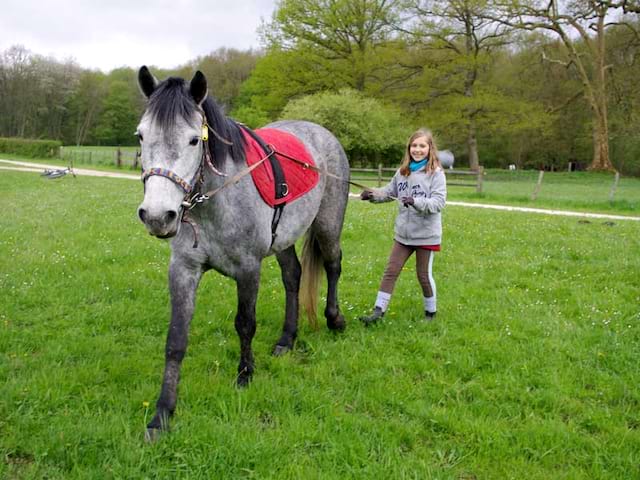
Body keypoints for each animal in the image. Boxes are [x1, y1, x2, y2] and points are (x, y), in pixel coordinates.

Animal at [132, 66, 348, 438]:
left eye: (194, 140)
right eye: (141, 136)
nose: (158, 216)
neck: (216, 200)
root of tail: (321, 133)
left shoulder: (248, 269)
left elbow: (245, 324)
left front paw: (245, 375)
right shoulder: (183, 270)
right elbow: (176, 339)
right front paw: (162, 413)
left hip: (328, 224)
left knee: (333, 265)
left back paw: (334, 319)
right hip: (284, 239)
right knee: (293, 277)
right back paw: (287, 339)